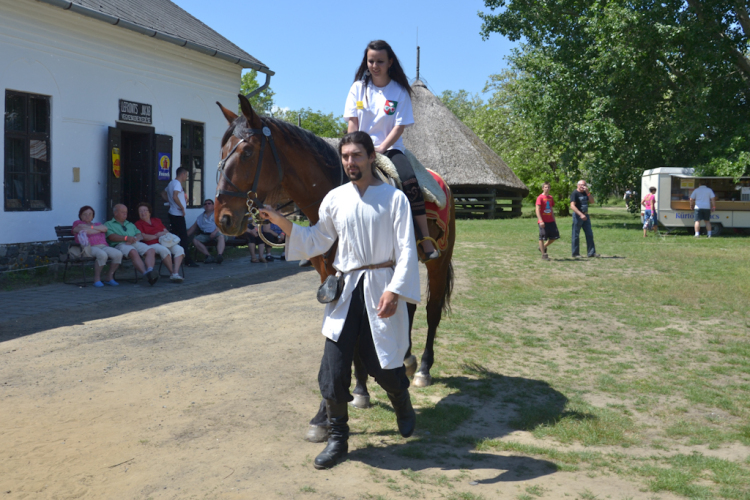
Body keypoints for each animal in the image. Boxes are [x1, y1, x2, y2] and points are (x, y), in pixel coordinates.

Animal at [214, 95, 456, 428]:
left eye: (248, 152)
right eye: (222, 152)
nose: (222, 218)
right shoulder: (331, 275)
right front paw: (357, 391)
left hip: (437, 261)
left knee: (432, 312)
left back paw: (422, 369)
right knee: (407, 307)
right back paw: (405, 359)